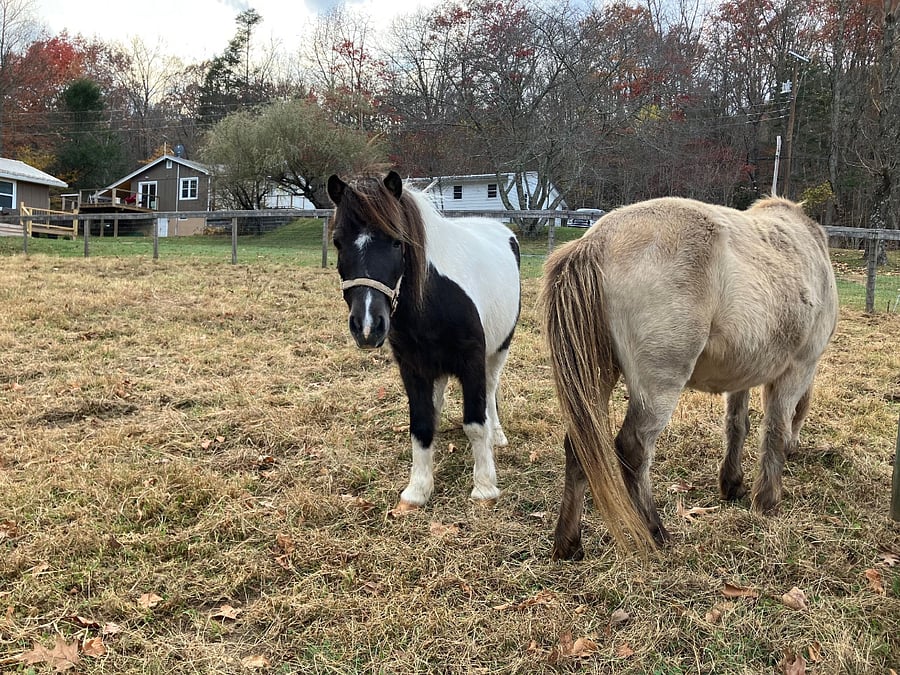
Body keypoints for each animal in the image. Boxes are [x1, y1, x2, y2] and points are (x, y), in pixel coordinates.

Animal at [327, 170, 521, 511]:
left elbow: (475, 423)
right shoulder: (413, 367)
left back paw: (496, 436)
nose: (367, 325)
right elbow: (420, 424)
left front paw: (484, 487)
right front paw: (418, 489)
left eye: (397, 241)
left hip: (499, 349)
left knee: (491, 389)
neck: (434, 300)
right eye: (338, 241)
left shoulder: (472, 360)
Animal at [541, 195, 838, 559]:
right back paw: (655, 532)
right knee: (633, 448)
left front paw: (733, 483)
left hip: (596, 378)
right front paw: (768, 502)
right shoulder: (797, 369)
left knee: (580, 447)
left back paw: (568, 544)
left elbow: (737, 425)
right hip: (659, 387)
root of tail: (597, 240)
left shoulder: (742, 375)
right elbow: (775, 429)